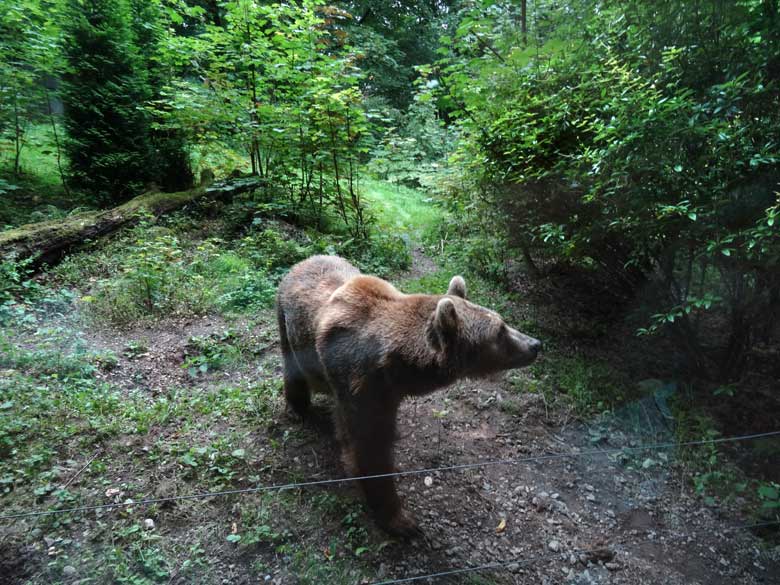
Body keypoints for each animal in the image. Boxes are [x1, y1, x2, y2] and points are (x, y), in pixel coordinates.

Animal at [276, 253, 544, 536]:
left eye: (502, 321)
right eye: (500, 330)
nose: (535, 344)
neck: (396, 369)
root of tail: (305, 260)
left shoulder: (388, 394)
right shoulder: (360, 385)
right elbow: (369, 449)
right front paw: (400, 519)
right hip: (286, 320)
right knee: (293, 367)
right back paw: (298, 408)